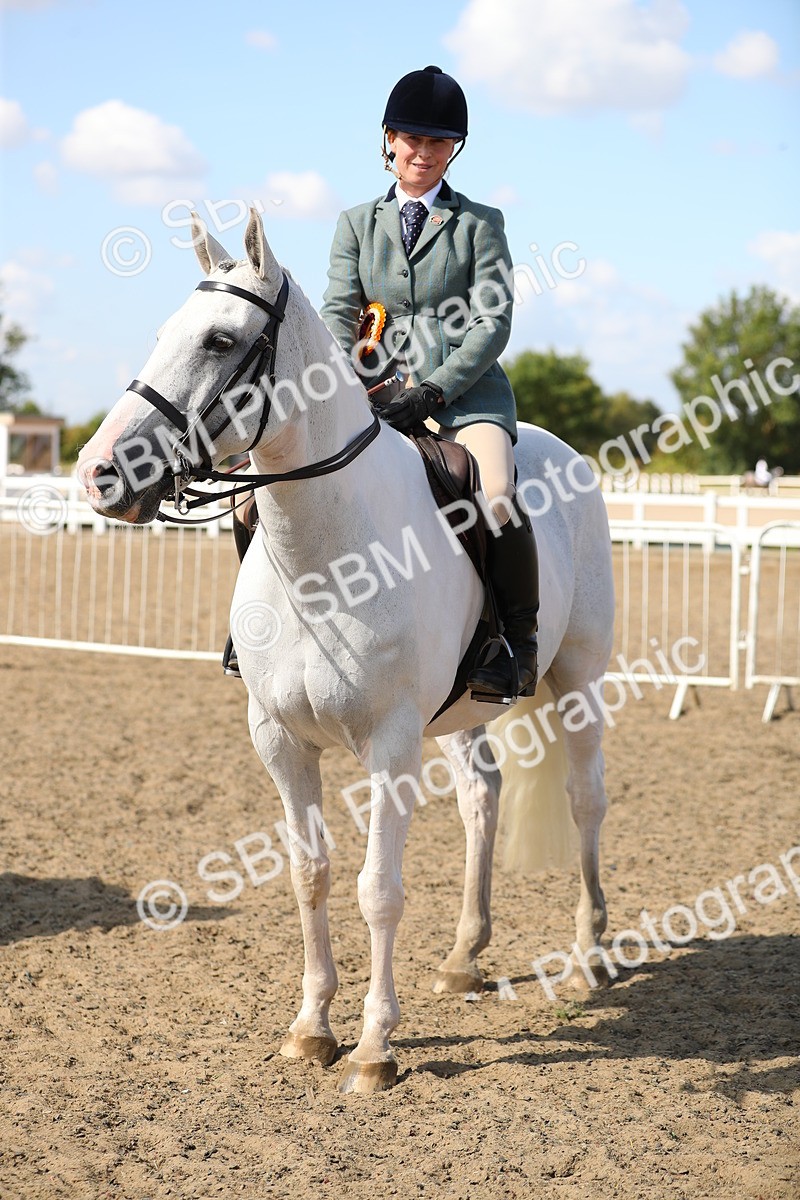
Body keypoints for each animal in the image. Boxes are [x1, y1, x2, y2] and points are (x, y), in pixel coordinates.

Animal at [77, 209, 615, 1094]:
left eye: (221, 340)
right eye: (163, 333)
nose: (99, 475)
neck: (325, 554)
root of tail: (556, 446)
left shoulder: (391, 745)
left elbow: (378, 890)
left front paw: (373, 1049)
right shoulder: (280, 741)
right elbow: (311, 876)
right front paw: (311, 1029)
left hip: (579, 682)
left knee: (584, 801)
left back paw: (588, 957)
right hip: (463, 712)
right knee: (482, 796)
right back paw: (464, 959)